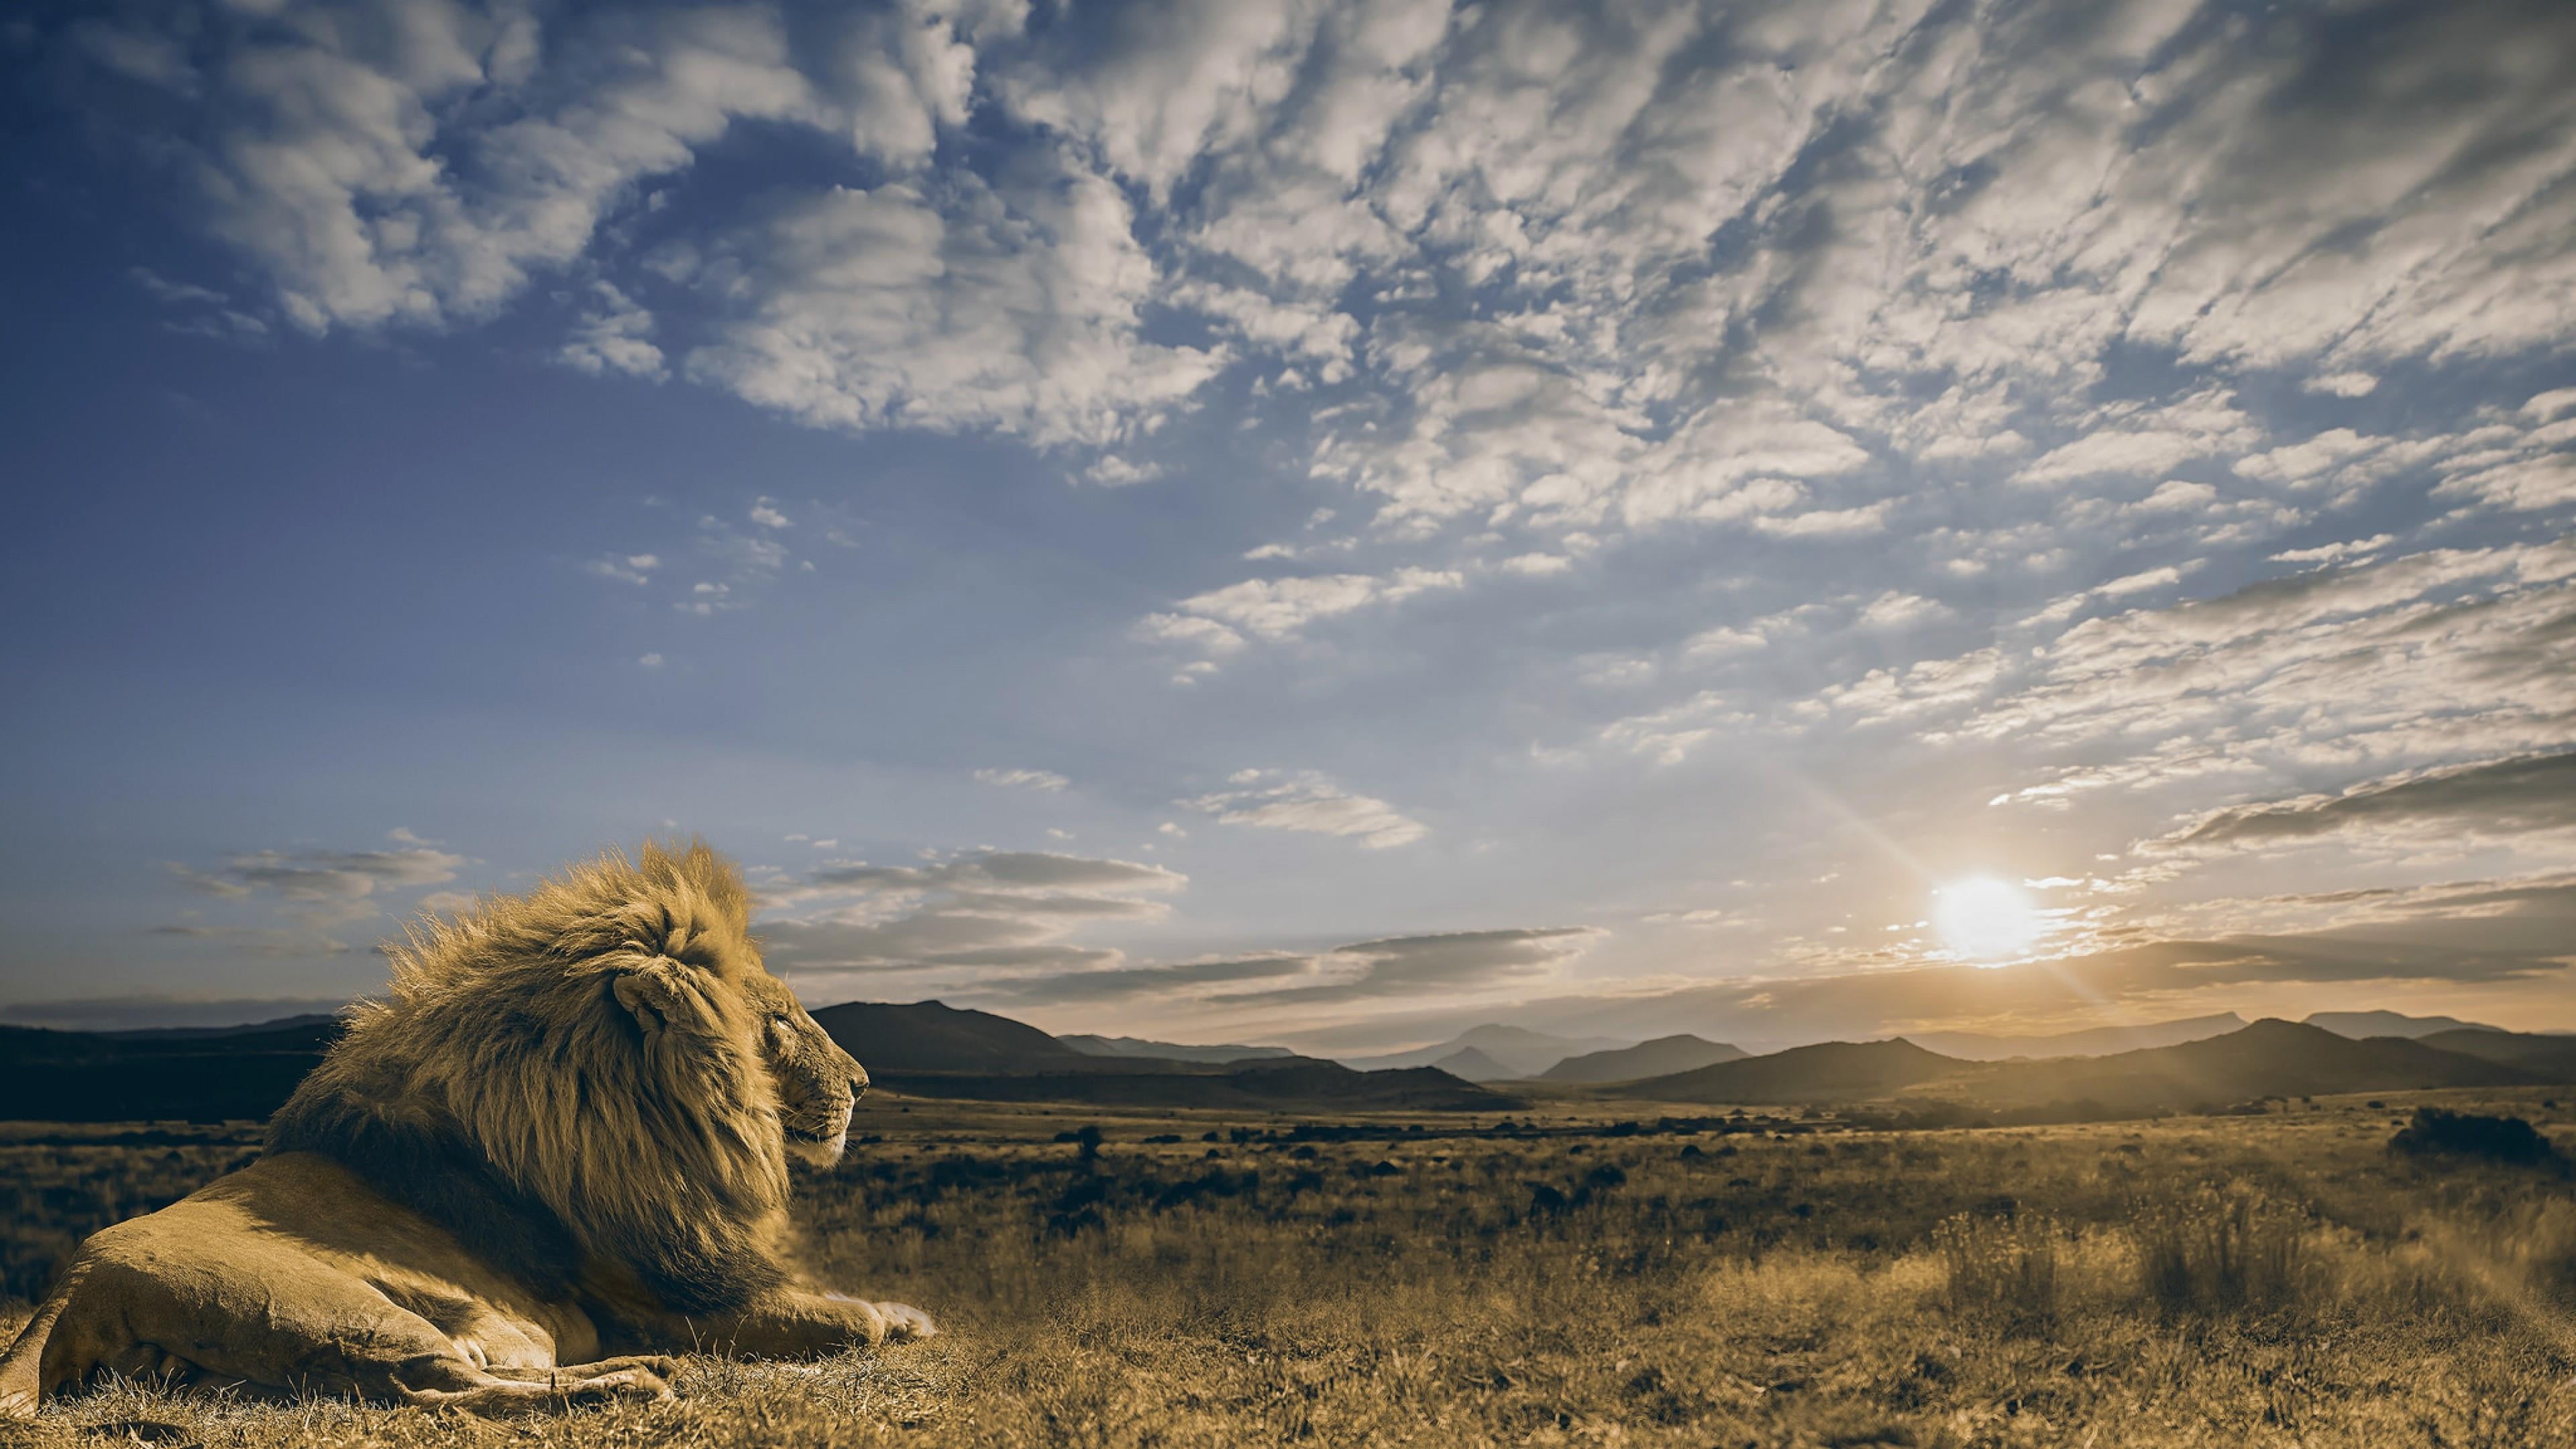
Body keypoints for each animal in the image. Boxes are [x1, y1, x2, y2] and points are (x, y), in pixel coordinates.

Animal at [0, 840, 931, 1418]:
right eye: (778, 1021)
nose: (864, 1083)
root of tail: (69, 1287)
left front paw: (907, 1313)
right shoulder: (664, 1300)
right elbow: (847, 1322)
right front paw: (885, 1318)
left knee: (470, 1373)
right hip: (328, 1310)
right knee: (440, 1389)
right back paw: (634, 1383)